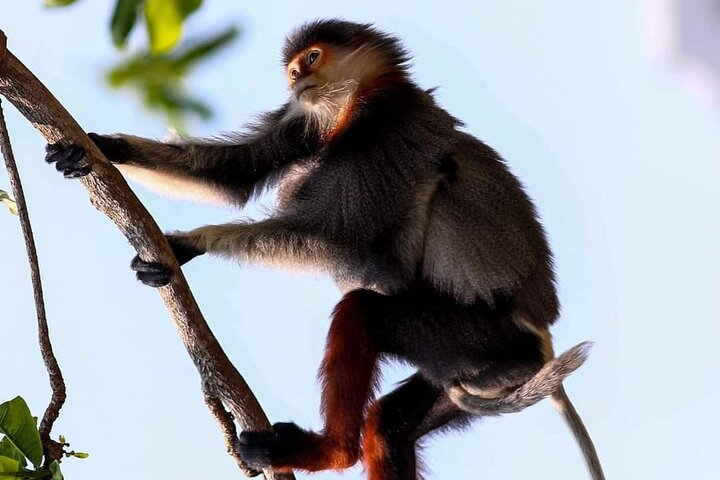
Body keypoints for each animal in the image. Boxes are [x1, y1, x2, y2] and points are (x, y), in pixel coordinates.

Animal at [45, 18, 604, 480]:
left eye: (311, 58)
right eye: (295, 68)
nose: (296, 78)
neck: (356, 100)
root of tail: (540, 337)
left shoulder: (382, 125)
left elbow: (337, 238)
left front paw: (185, 243)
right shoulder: (308, 117)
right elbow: (233, 175)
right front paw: (98, 148)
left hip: (476, 339)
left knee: (364, 310)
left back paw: (331, 450)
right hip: (479, 372)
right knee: (389, 424)